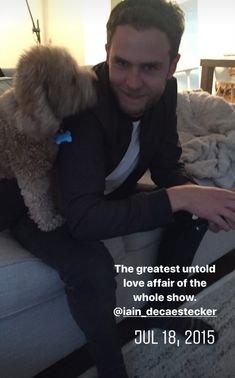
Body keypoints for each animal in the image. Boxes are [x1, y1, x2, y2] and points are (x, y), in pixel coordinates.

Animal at [0, 44, 96, 230]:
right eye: (72, 79)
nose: (96, 80)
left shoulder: (50, 167)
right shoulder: (31, 171)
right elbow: (38, 200)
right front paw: (50, 221)